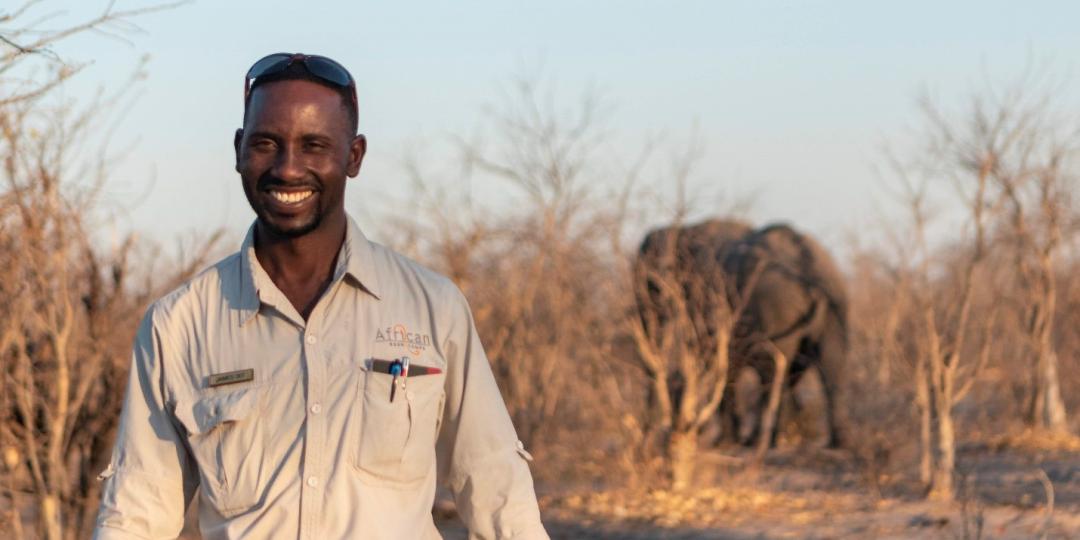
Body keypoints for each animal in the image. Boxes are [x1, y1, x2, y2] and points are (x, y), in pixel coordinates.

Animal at [630, 218, 851, 447]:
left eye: (650, 281)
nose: (649, 427)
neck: (684, 231)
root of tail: (809, 266)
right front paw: (732, 439)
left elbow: (719, 361)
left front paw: (724, 442)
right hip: (836, 304)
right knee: (833, 365)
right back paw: (836, 443)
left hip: (778, 306)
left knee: (773, 370)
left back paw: (765, 441)